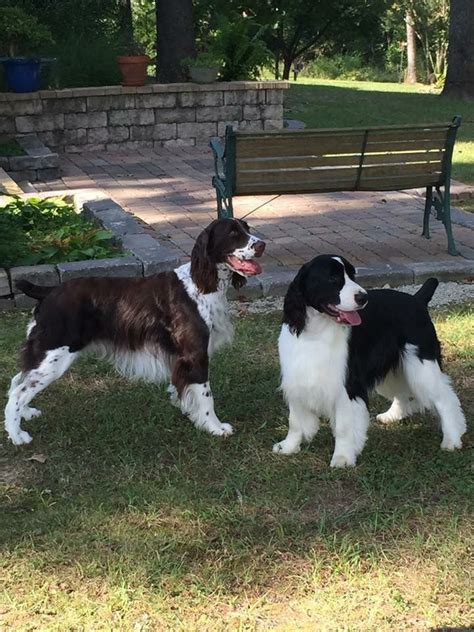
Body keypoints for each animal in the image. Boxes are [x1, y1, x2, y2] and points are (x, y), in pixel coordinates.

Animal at [3, 217, 264, 444]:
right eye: (233, 233)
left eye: (247, 228)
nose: (262, 245)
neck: (200, 284)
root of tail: (48, 291)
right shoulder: (195, 354)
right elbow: (206, 395)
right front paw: (215, 427)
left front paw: (189, 412)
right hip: (54, 355)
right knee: (18, 392)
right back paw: (17, 436)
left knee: (18, 380)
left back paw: (27, 413)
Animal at [274, 254, 466, 466]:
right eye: (333, 278)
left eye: (352, 275)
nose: (363, 297)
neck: (316, 331)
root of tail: (417, 300)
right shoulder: (297, 378)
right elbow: (295, 421)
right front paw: (288, 447)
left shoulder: (347, 386)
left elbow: (344, 426)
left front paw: (342, 457)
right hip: (394, 369)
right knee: (401, 391)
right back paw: (392, 415)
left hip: (421, 366)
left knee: (444, 398)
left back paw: (452, 439)